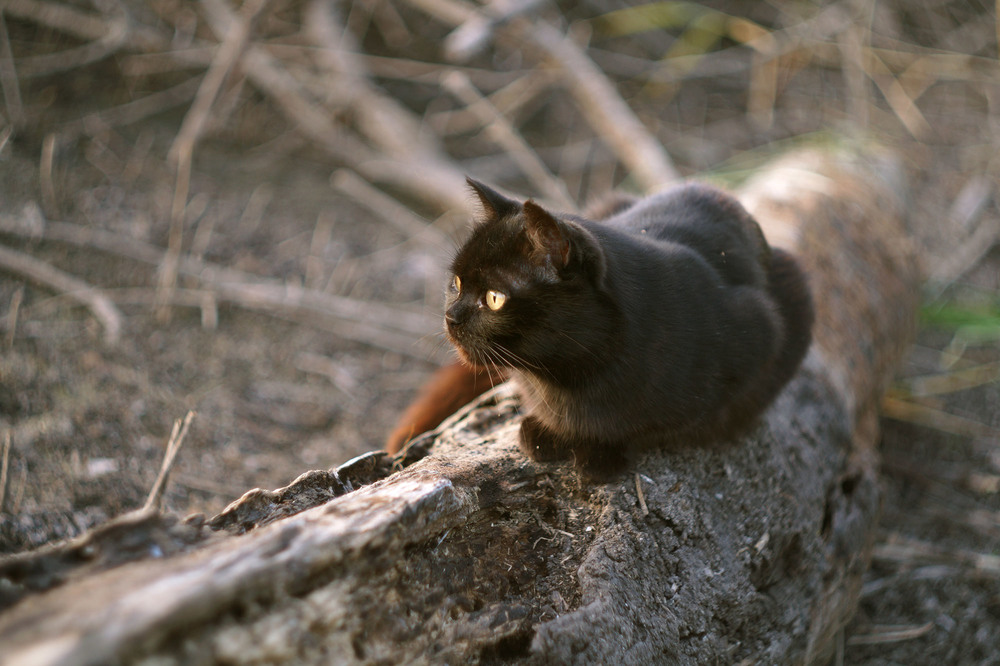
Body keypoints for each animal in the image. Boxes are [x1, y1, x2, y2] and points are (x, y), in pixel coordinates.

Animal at [382, 176, 812, 478]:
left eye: (494, 298)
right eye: (455, 283)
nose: (450, 317)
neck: (563, 381)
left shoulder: (758, 334)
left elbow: (658, 425)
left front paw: (597, 452)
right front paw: (542, 431)